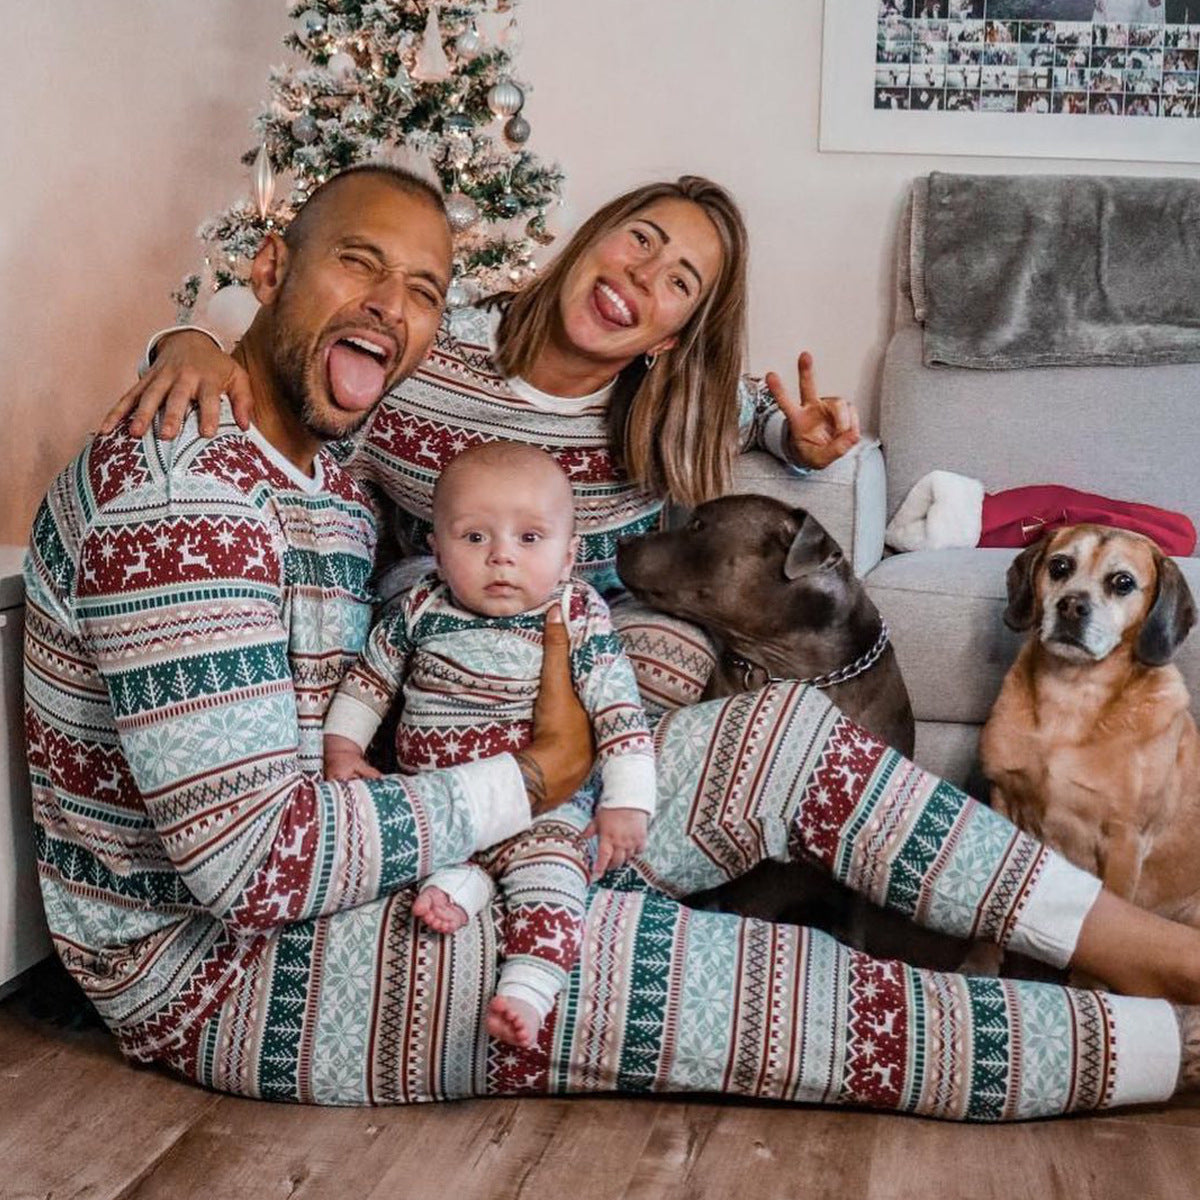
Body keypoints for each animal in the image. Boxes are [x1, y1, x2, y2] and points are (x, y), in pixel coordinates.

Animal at [979, 520, 1195, 921]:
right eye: (1059, 566)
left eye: (1123, 582)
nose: (1071, 605)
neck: (1072, 693)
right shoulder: (1003, 797)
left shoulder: (1125, 843)